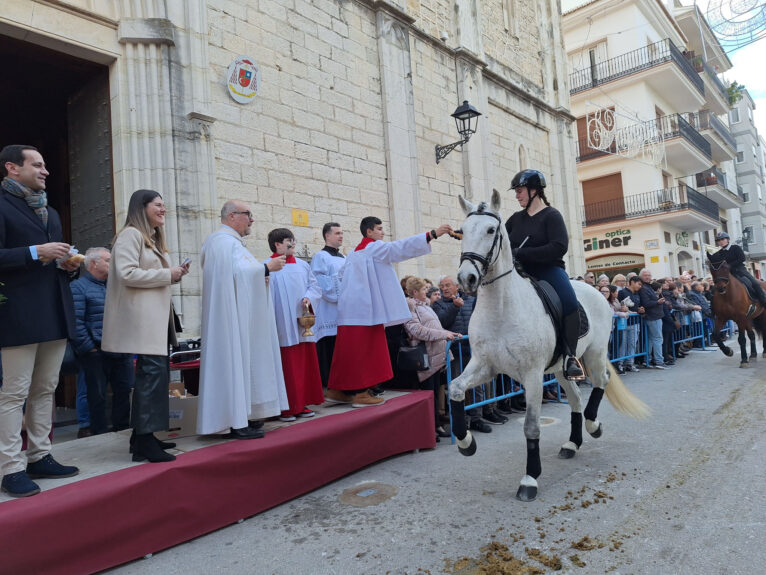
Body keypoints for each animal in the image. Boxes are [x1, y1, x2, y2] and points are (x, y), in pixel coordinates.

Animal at [452, 191, 652, 502]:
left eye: (491, 230)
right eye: (461, 231)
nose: (466, 279)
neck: (501, 308)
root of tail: (596, 291)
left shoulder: (532, 375)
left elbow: (531, 426)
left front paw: (529, 479)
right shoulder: (485, 366)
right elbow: (455, 388)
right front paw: (466, 443)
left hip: (594, 354)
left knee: (601, 382)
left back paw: (593, 425)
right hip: (561, 368)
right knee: (576, 398)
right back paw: (572, 443)